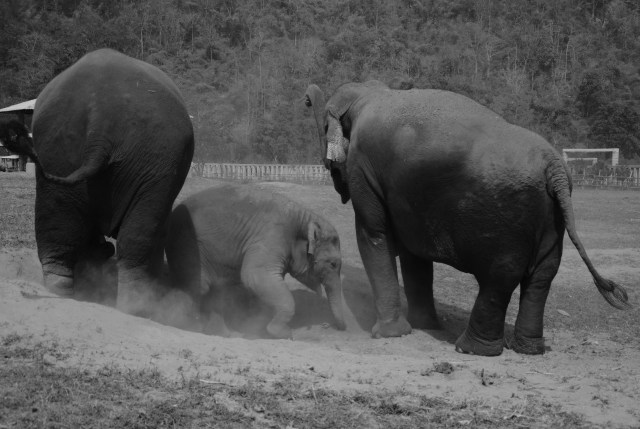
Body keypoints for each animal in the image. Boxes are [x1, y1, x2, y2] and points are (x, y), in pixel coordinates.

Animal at [0, 49, 194, 315]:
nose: (105, 248)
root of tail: (99, 119)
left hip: (59, 151)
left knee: (56, 232)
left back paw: (62, 293)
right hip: (154, 160)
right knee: (139, 237)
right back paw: (136, 307)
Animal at [165, 183, 346, 339]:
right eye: (333, 264)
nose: (337, 328)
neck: (303, 218)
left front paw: (257, 330)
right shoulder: (271, 237)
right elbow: (254, 276)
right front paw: (282, 333)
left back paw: (221, 333)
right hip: (187, 244)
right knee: (199, 286)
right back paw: (187, 324)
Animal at [304, 80, 630, 356]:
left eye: (324, 126)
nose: (306, 98)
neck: (370, 93)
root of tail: (555, 166)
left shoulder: (363, 168)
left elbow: (374, 234)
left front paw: (388, 334)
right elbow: (413, 255)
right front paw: (424, 326)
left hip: (506, 217)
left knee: (500, 277)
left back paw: (471, 349)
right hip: (551, 216)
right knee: (542, 276)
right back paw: (528, 349)